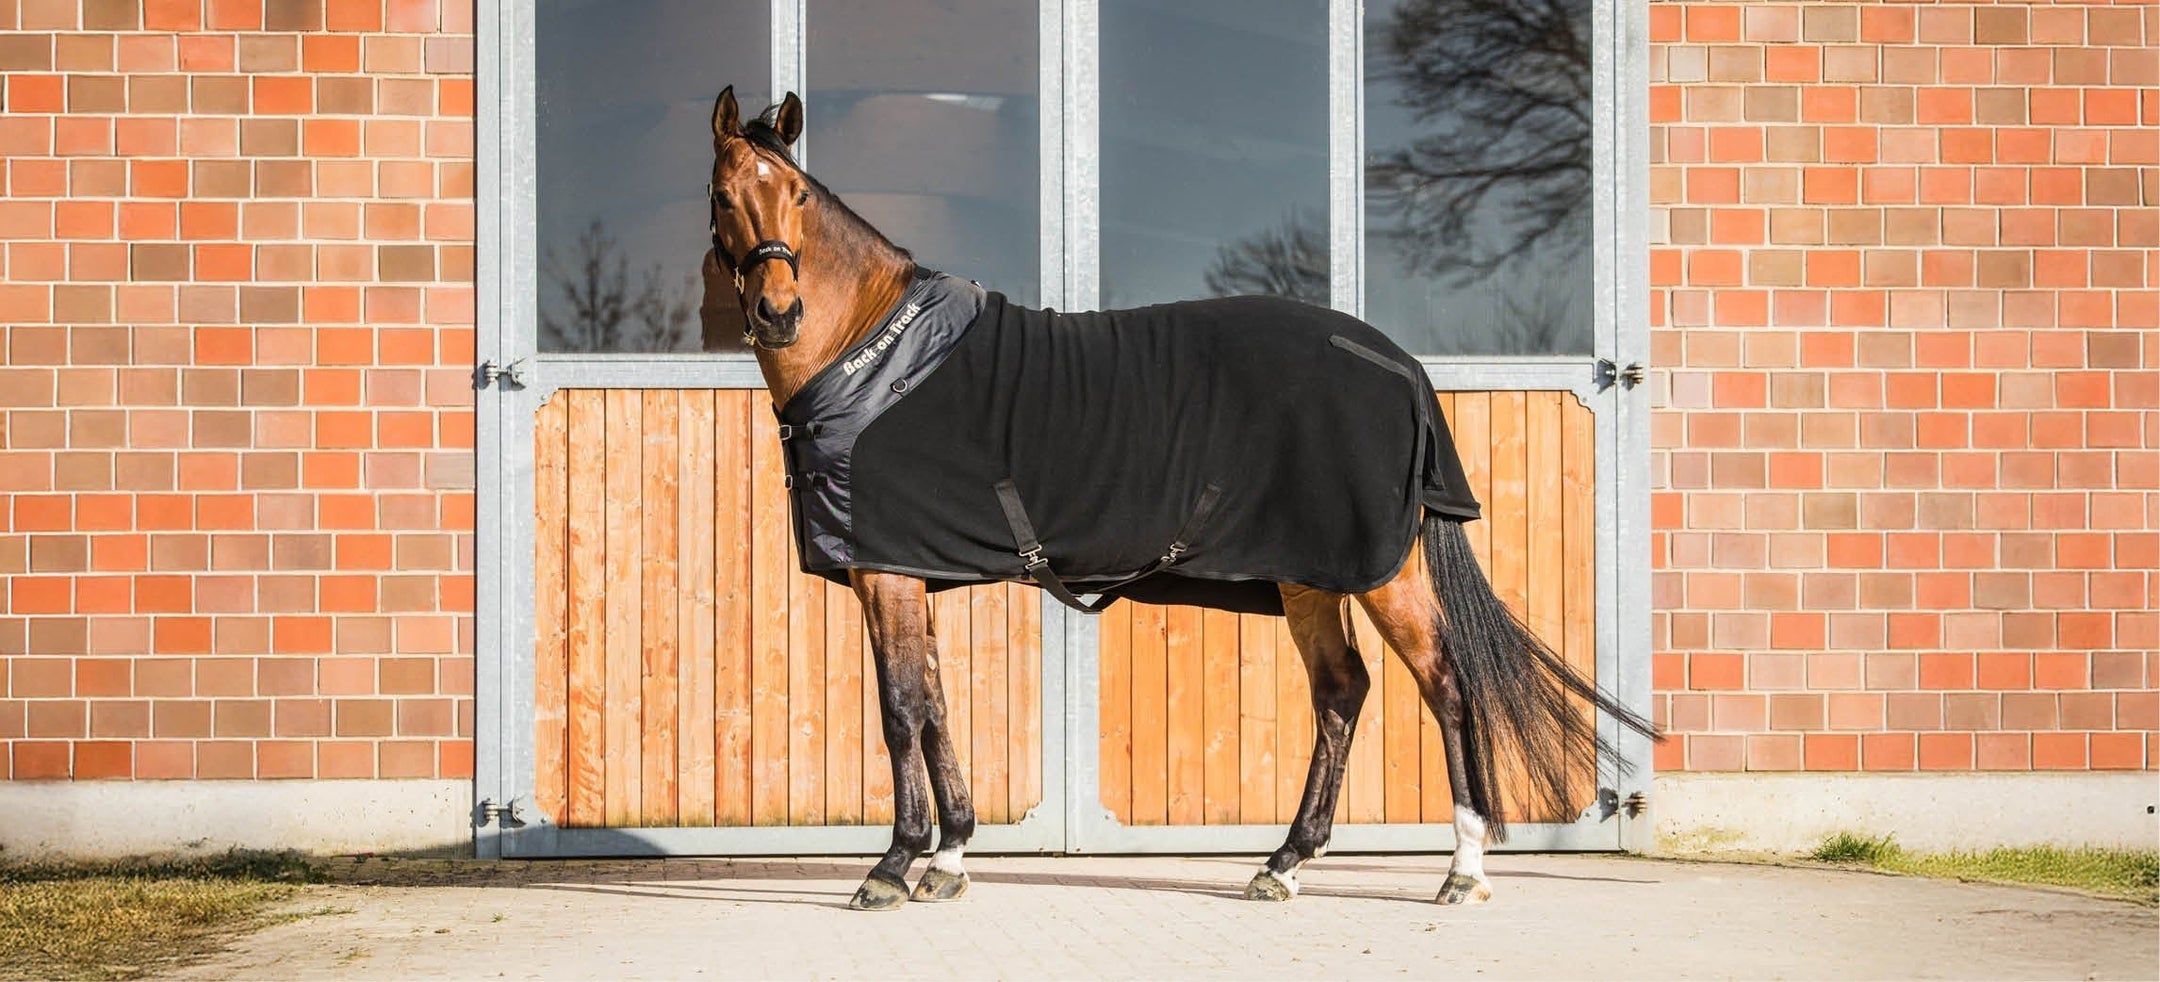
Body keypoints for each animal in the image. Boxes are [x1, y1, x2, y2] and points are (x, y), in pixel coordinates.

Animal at [704, 86, 1657, 911]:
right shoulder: (908, 574)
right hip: (1308, 579)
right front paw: (949, 860)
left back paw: (1461, 870)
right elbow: (936, 707)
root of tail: (1401, 367)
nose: (781, 312)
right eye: (723, 197)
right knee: (1342, 691)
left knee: (1446, 686)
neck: (874, 357)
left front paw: (893, 867)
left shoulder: (886, 574)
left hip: (1381, 573)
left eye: (796, 195)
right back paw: (1284, 864)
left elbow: (902, 712)